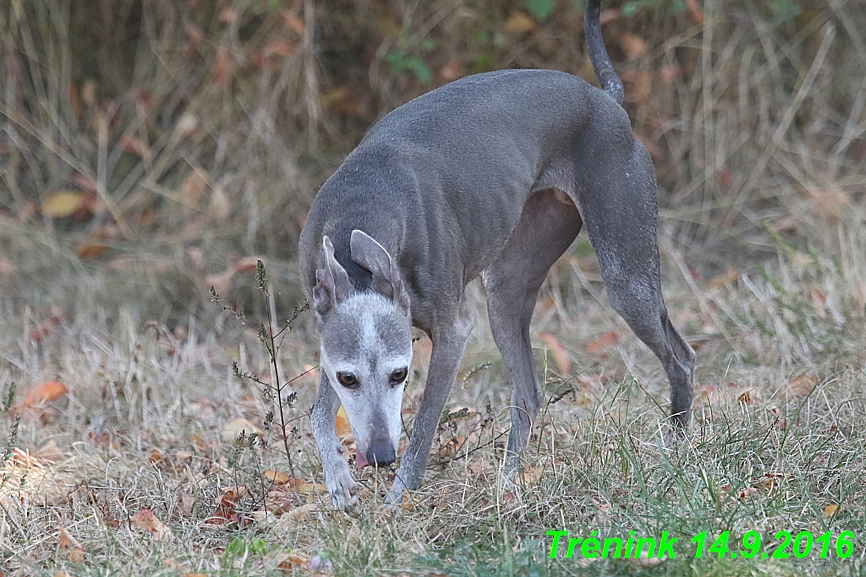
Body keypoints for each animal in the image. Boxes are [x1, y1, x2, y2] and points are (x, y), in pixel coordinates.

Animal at [300, 0, 692, 510]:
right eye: (348, 379)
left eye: (400, 373)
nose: (381, 456)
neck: (363, 207)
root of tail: (606, 100)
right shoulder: (328, 324)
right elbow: (318, 412)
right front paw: (339, 480)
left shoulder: (452, 332)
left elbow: (423, 426)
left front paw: (397, 500)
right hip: (507, 289)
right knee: (529, 393)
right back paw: (509, 485)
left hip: (627, 277)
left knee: (681, 358)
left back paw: (678, 449)